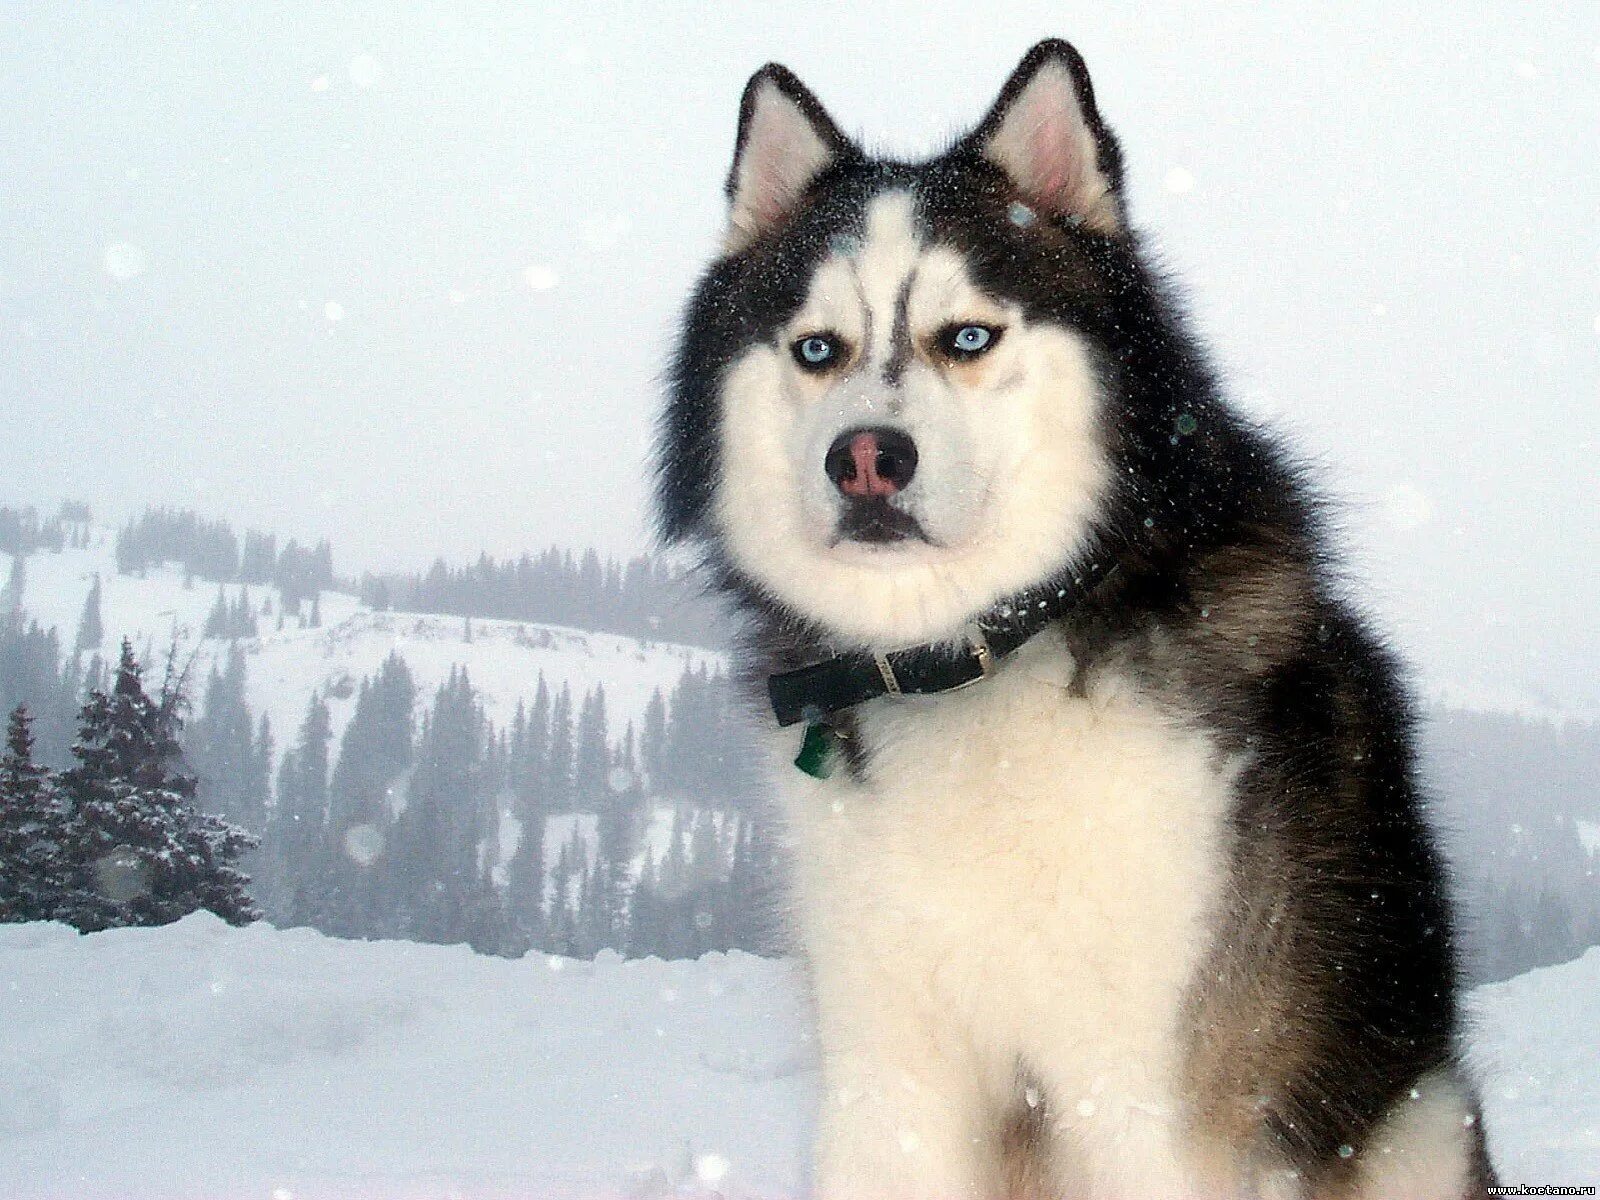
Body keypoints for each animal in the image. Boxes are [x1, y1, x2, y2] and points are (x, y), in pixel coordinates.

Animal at [652, 40, 1497, 1200]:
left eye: (967, 336)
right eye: (817, 350)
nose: (865, 459)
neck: (971, 662)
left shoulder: (1152, 1093)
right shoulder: (887, 1078)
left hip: (1418, 1120)